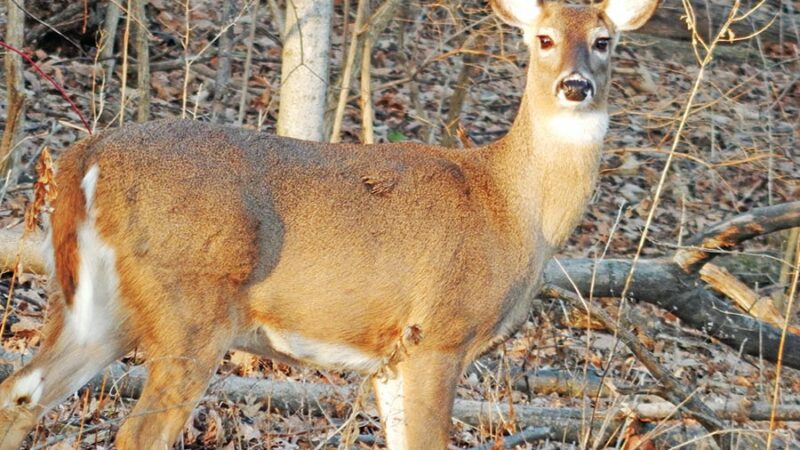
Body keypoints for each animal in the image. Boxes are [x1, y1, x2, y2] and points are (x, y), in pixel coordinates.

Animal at [0, 1, 656, 448]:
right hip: (188, 311)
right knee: (136, 433)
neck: (512, 206)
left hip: (94, 305)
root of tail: (89, 156)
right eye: (544, 38)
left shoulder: (392, 357)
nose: (576, 85)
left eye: (604, 40)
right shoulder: (439, 334)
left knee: (21, 391)